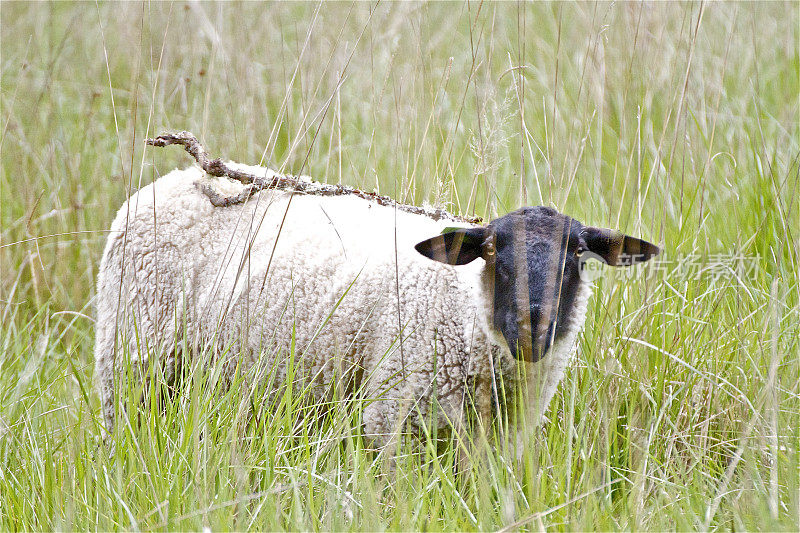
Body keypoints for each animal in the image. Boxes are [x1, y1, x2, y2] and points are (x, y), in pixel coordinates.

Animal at [94, 159, 660, 444]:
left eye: (578, 256)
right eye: (492, 252)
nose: (530, 329)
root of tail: (177, 178)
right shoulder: (393, 420)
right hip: (131, 362)